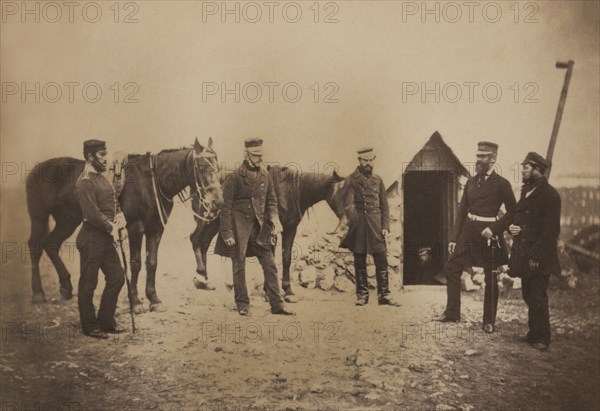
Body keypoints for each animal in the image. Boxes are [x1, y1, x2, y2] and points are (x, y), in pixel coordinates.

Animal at [25, 138, 223, 312]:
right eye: (202, 167)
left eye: (218, 167)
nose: (217, 202)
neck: (151, 182)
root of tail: (35, 170)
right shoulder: (136, 228)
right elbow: (135, 263)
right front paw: (135, 302)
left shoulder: (156, 229)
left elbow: (152, 262)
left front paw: (154, 299)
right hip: (39, 217)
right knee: (35, 247)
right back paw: (38, 293)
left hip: (67, 220)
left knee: (51, 244)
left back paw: (66, 286)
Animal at [190, 165, 344, 300]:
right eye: (342, 192)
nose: (345, 217)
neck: (291, 191)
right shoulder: (270, 231)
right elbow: (271, 258)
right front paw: (269, 292)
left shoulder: (290, 229)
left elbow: (286, 258)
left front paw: (287, 290)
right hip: (208, 218)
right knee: (196, 239)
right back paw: (201, 278)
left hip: (217, 222)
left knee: (204, 244)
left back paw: (205, 281)